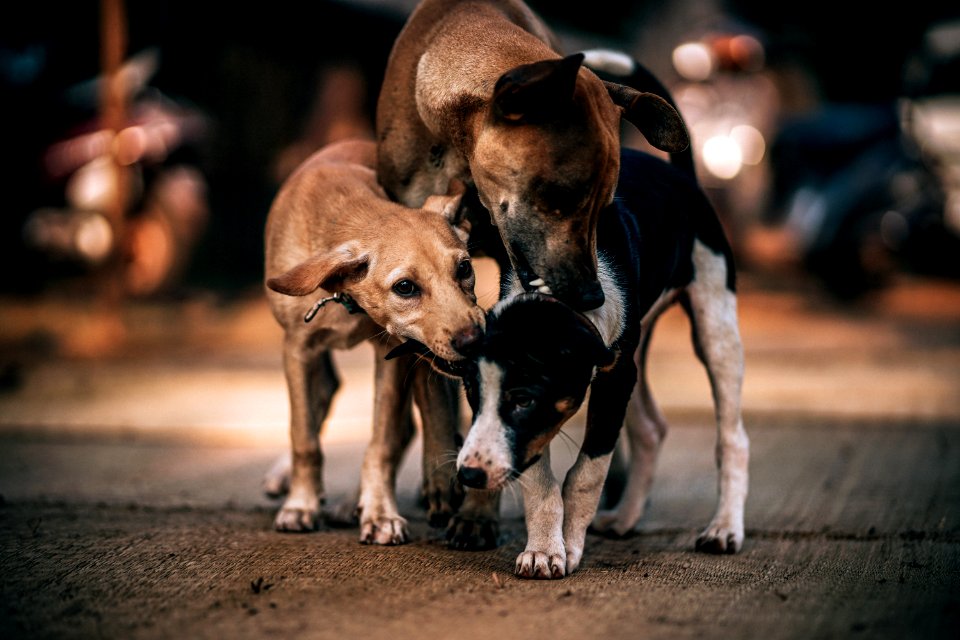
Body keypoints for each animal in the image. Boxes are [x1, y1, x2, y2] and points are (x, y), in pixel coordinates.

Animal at [262, 138, 484, 544]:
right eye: (405, 287)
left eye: (464, 268)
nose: (475, 340)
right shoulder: (298, 348)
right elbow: (304, 437)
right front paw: (300, 505)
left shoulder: (390, 353)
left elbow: (381, 444)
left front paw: (380, 512)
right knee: (322, 396)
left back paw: (355, 502)